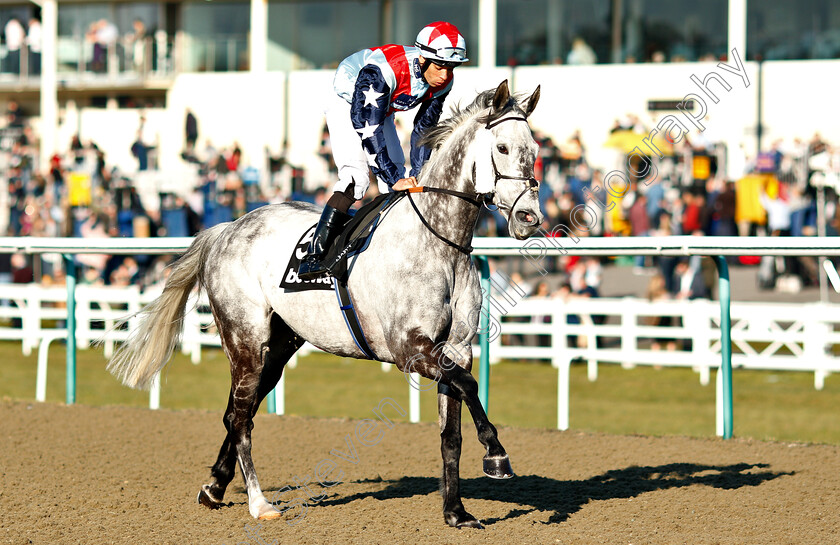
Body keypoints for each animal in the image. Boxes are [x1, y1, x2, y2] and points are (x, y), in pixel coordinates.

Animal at [108, 81, 544, 528]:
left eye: (535, 149)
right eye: (503, 148)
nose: (528, 217)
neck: (439, 242)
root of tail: (226, 228)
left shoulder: (455, 348)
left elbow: (451, 429)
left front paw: (456, 512)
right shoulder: (410, 349)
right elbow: (469, 386)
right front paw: (496, 454)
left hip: (279, 346)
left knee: (238, 411)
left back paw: (214, 487)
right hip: (244, 339)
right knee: (242, 417)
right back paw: (258, 503)